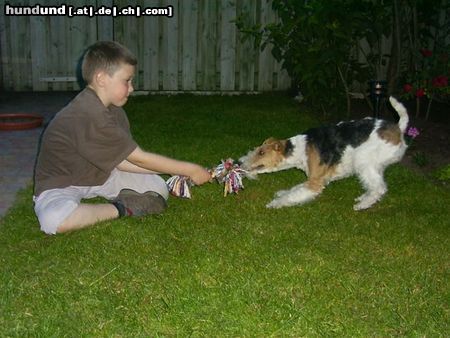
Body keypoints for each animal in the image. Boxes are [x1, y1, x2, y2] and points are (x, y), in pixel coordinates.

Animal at [241, 96, 410, 210]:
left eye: (261, 152)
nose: (240, 162)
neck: (300, 149)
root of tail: (398, 129)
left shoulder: (315, 182)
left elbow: (294, 194)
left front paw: (275, 203)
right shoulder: (312, 178)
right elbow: (294, 189)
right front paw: (281, 194)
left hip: (364, 161)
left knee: (379, 188)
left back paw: (362, 205)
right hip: (375, 164)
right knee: (376, 185)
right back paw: (364, 198)